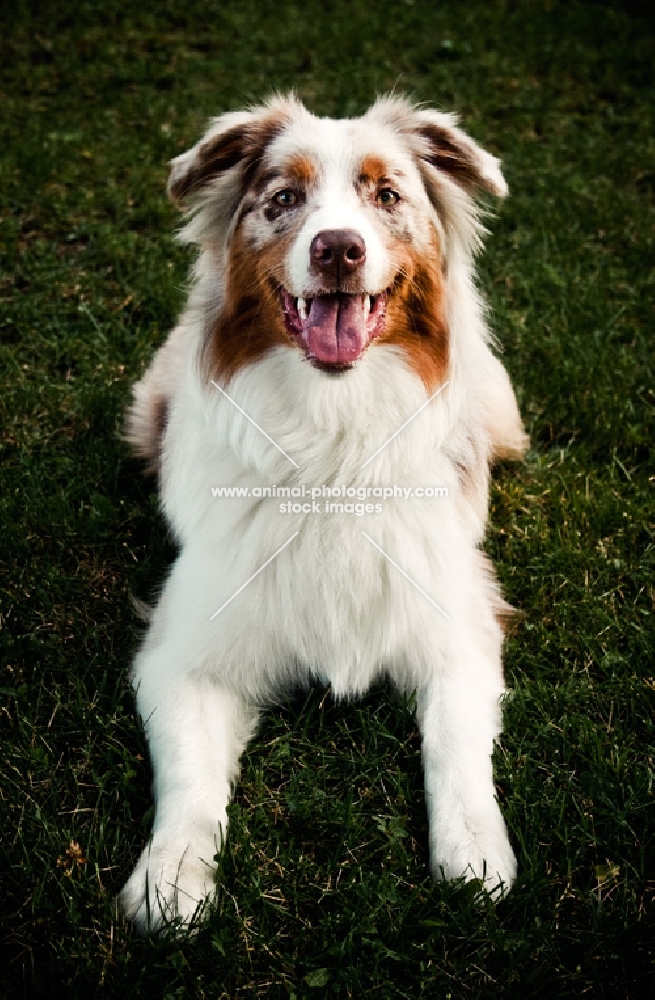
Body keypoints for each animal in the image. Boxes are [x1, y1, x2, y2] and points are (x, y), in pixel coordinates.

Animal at [118, 90, 528, 932]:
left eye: (387, 195)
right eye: (283, 199)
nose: (338, 249)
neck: (334, 439)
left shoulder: (456, 631)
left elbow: (458, 752)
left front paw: (475, 859)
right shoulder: (183, 655)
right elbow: (189, 782)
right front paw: (170, 878)